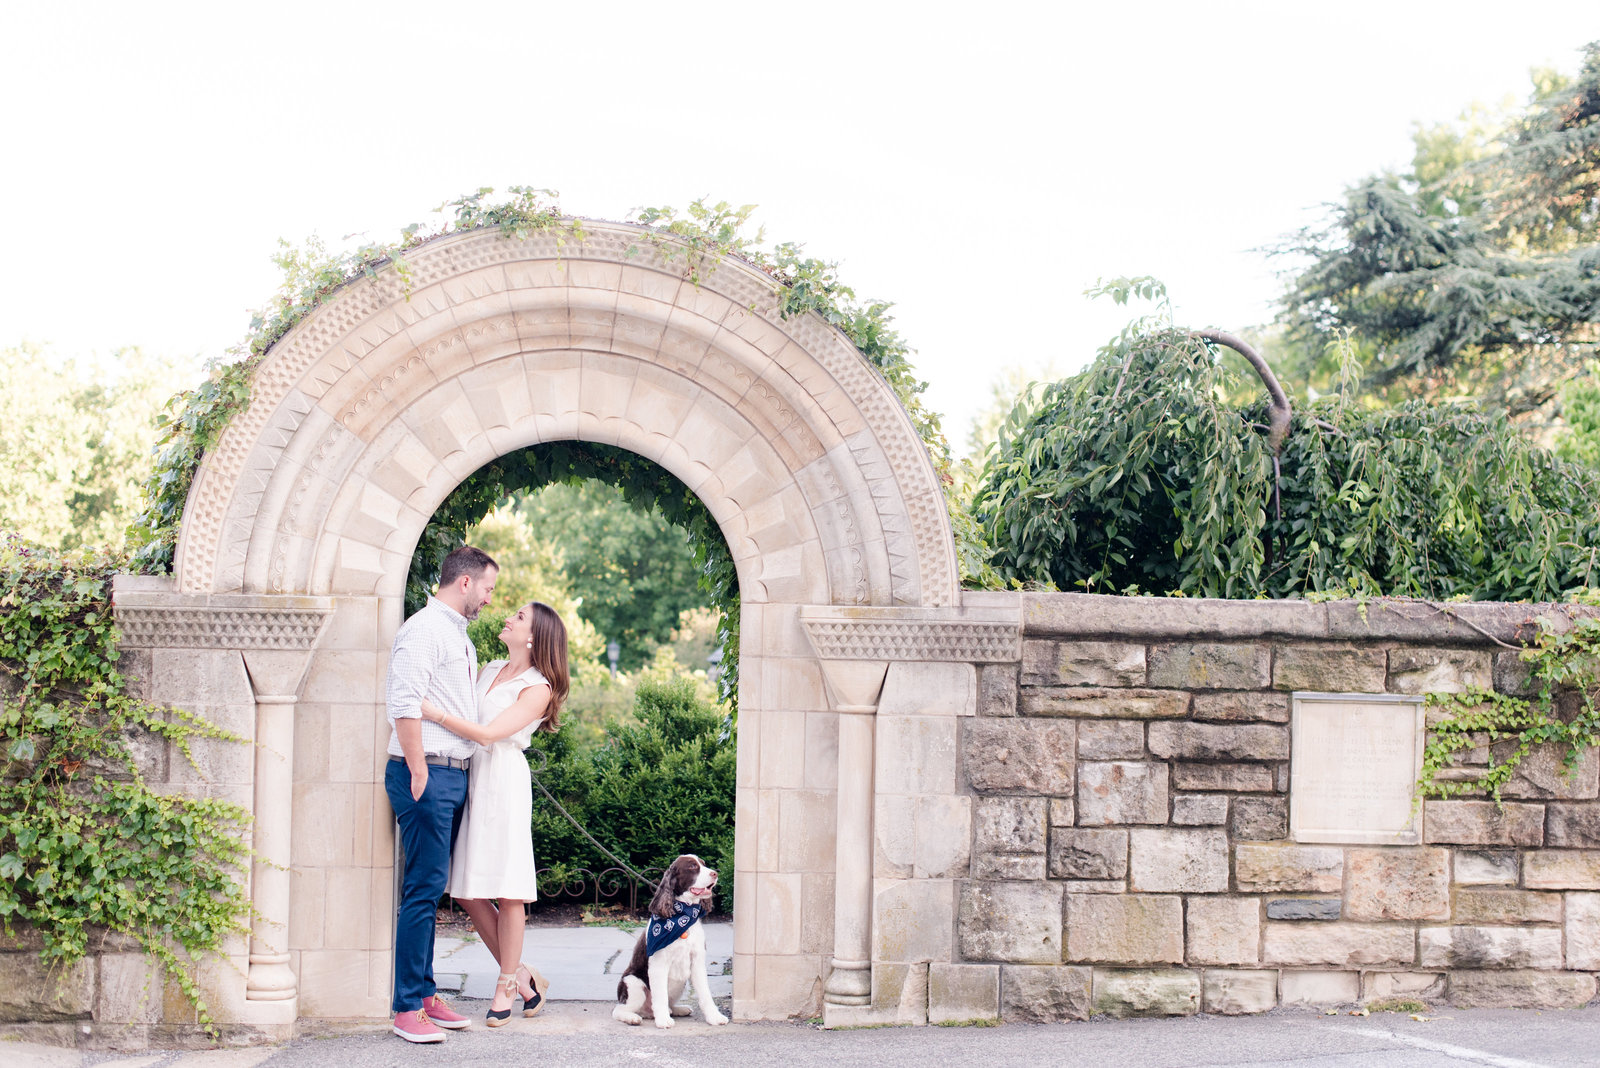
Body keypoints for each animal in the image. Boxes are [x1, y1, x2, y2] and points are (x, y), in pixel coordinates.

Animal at [614, 850, 729, 1023]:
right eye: (692, 866)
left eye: (703, 863)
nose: (715, 873)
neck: (684, 914)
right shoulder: (658, 964)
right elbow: (660, 994)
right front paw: (663, 1021)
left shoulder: (697, 961)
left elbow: (705, 993)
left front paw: (715, 1017)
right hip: (633, 984)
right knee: (619, 1010)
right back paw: (633, 1018)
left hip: (679, 985)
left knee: (669, 1004)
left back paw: (679, 1009)